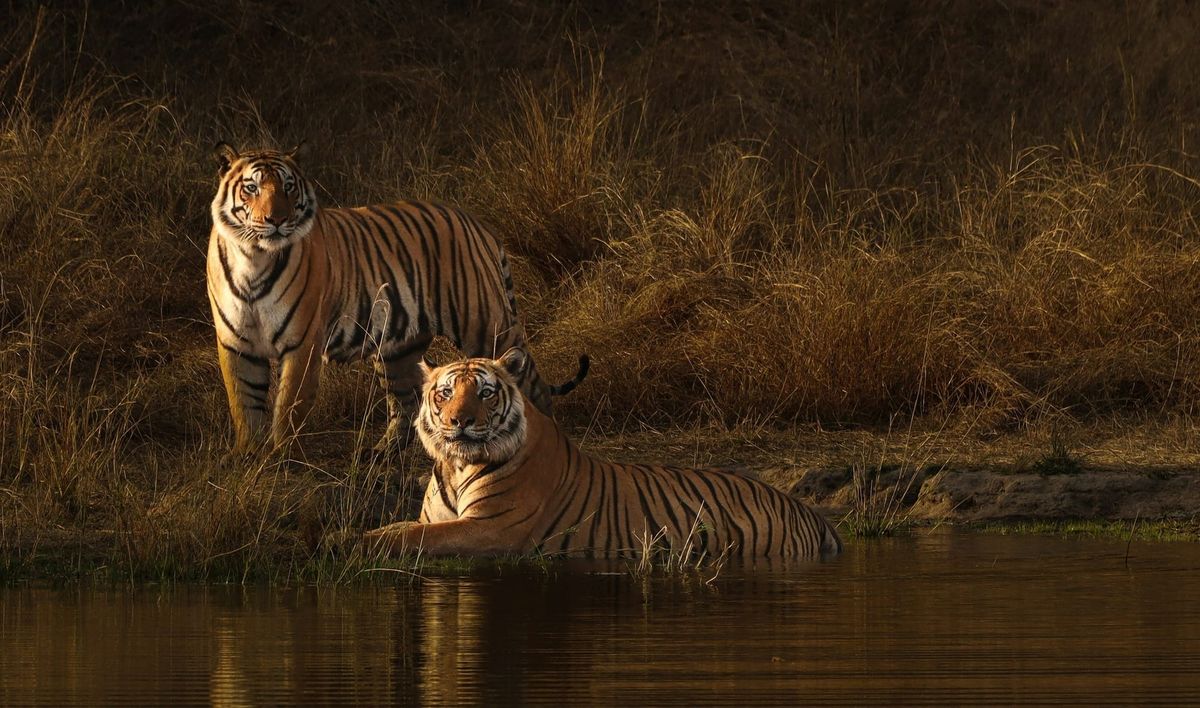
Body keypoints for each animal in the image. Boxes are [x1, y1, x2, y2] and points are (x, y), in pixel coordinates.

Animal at [205, 143, 587, 454]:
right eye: (252, 187)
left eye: (288, 186)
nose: (277, 220)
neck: (254, 258)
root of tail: (477, 223)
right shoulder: (236, 343)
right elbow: (244, 402)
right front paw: (249, 456)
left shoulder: (302, 344)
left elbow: (289, 406)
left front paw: (281, 455)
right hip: (397, 347)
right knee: (406, 401)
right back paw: (383, 452)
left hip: (487, 327)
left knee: (530, 385)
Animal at [362, 348, 844, 559]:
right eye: (445, 393)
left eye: (484, 392)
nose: (458, 421)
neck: (456, 465)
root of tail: (807, 510)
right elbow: (403, 528)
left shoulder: (491, 529)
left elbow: (412, 538)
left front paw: (350, 540)